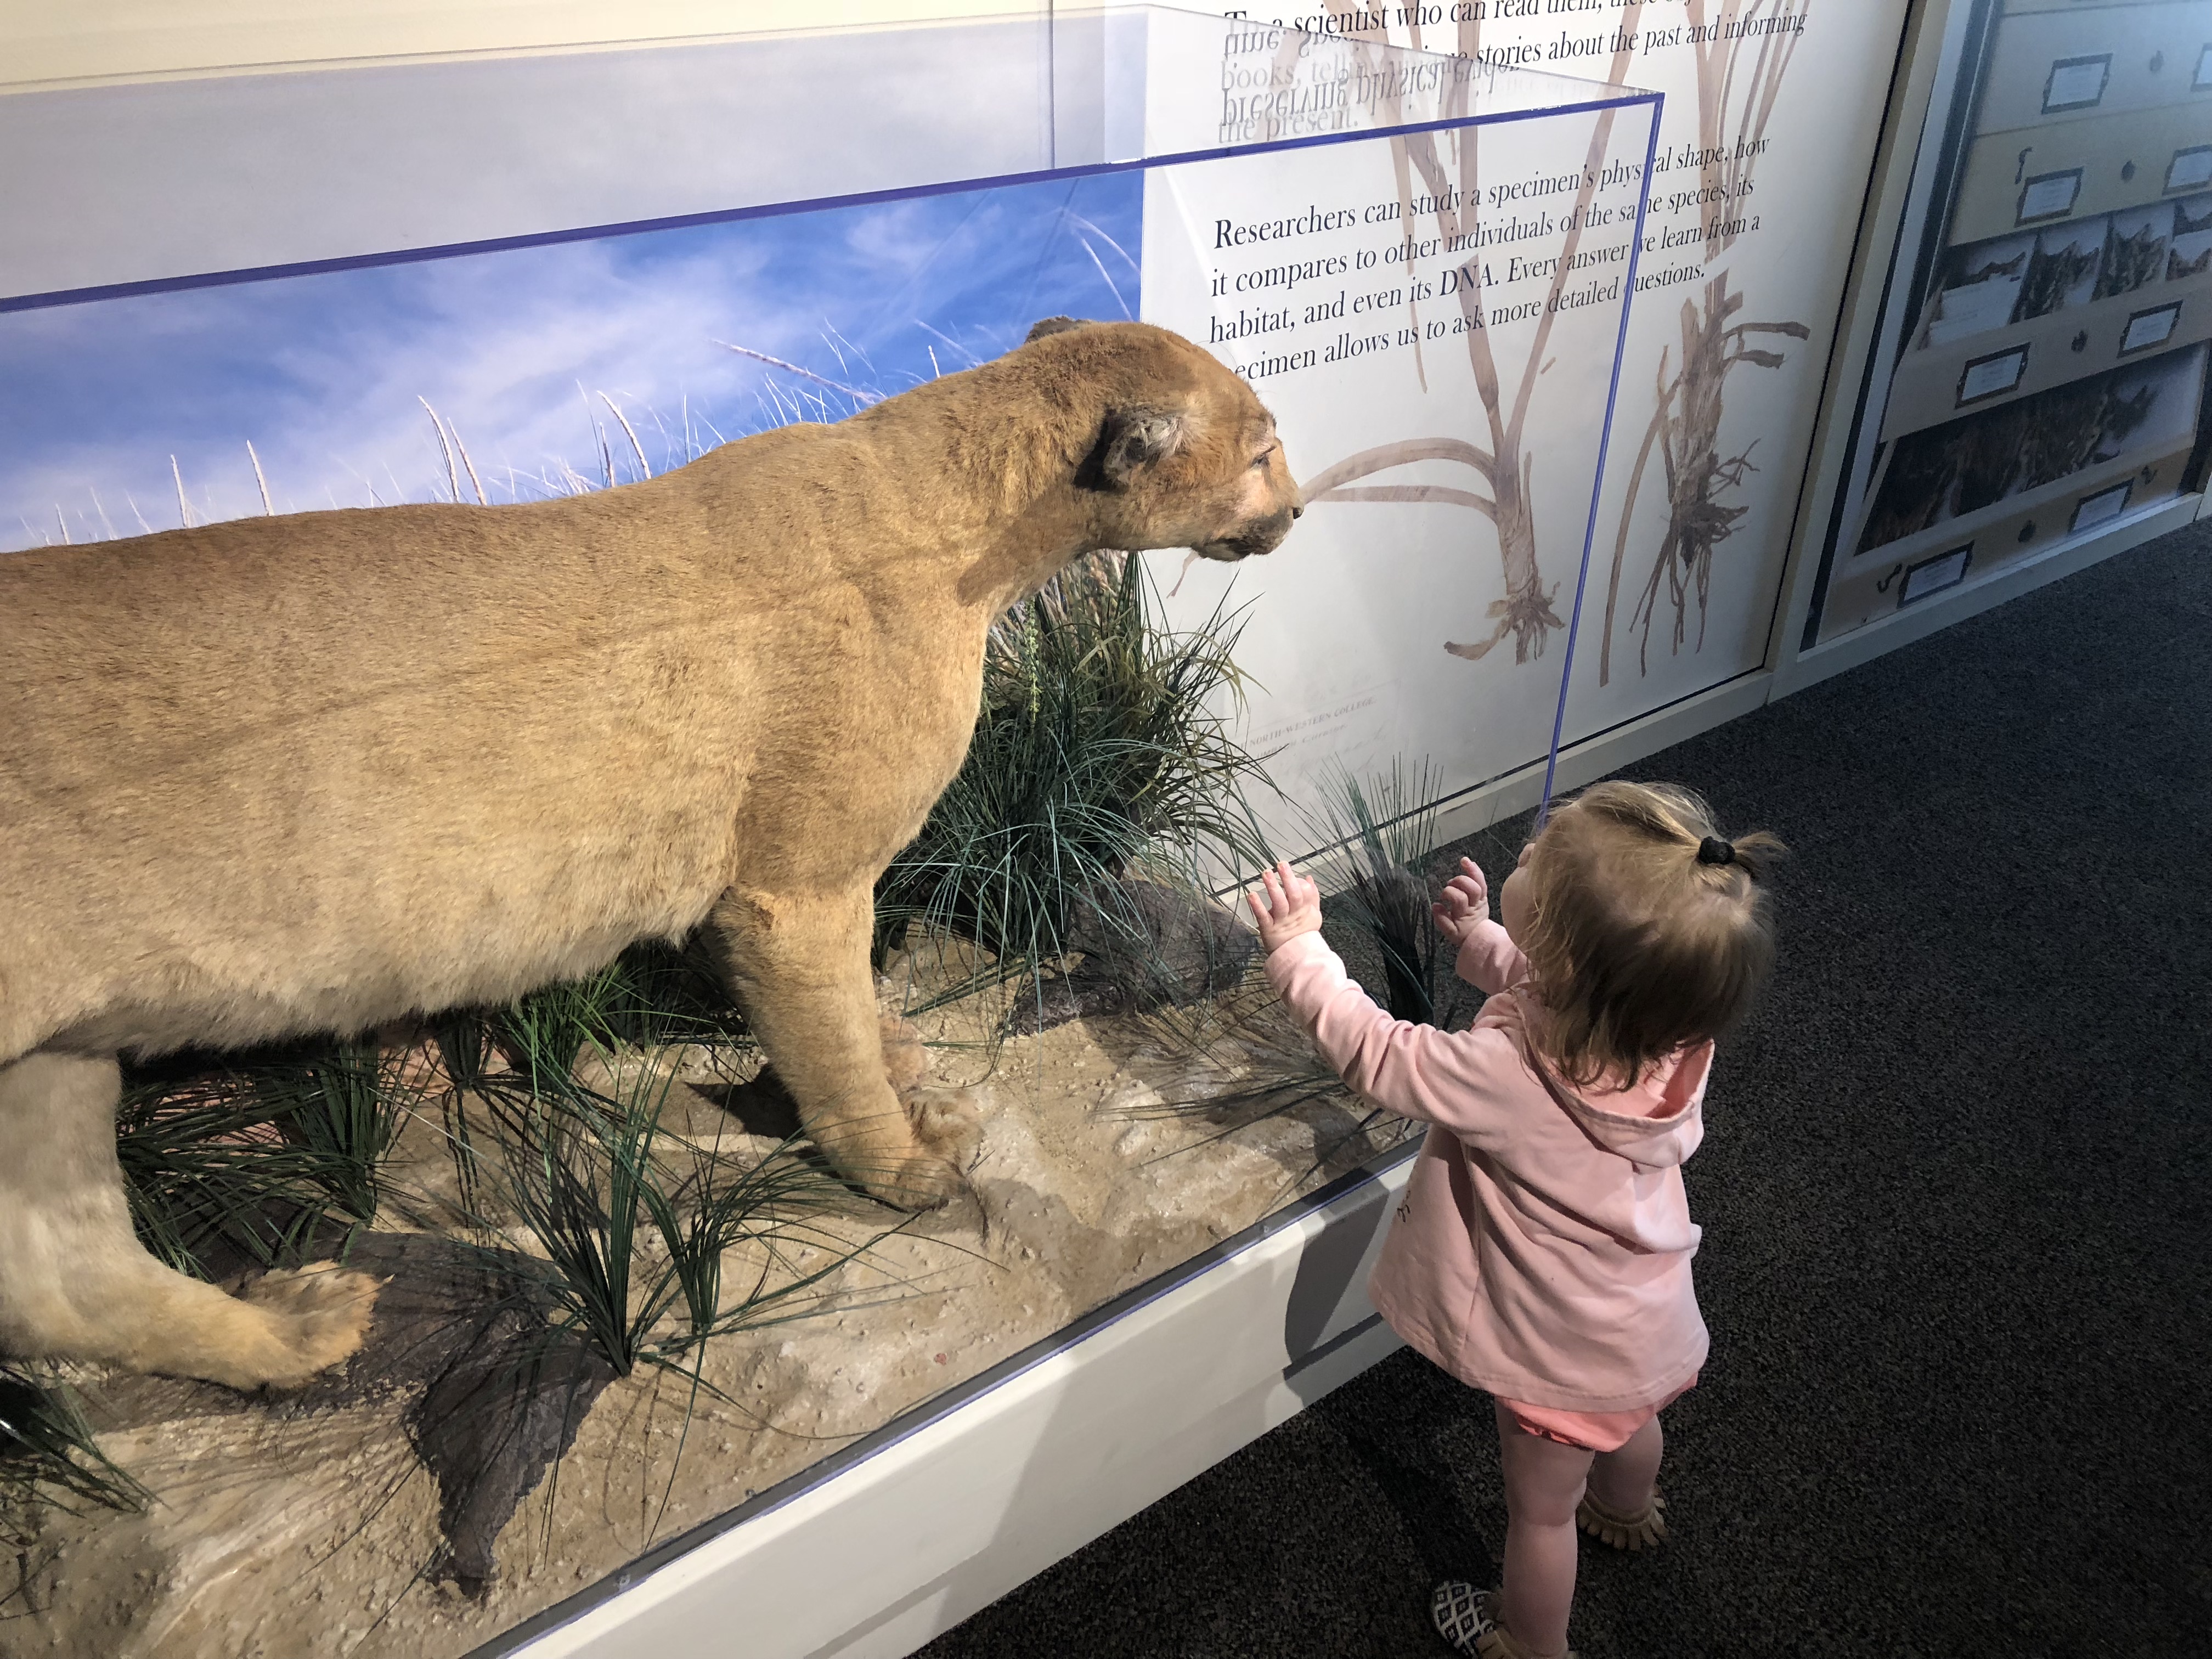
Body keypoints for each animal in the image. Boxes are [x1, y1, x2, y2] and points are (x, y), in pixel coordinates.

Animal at [0, 320, 1300, 1389]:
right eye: (1264, 447)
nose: (1295, 507)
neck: (968, 522)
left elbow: (841, 1012)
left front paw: (905, 1069)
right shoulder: (797, 886)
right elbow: (828, 1035)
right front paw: (898, 1162)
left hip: (54, 1063)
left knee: (65, 1276)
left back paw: (294, 1331)